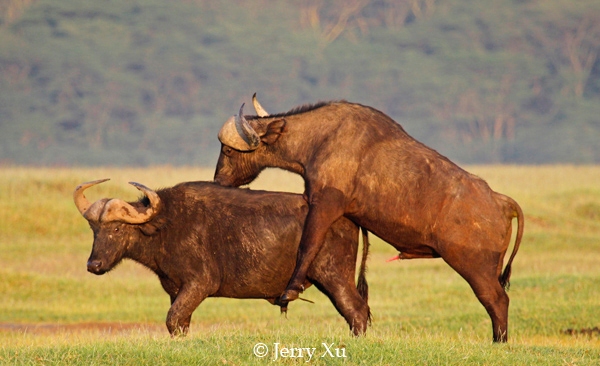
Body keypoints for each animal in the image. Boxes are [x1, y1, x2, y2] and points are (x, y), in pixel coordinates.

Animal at [72, 179, 368, 336]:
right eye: (94, 229)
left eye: (118, 228)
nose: (93, 265)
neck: (165, 225)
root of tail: (347, 216)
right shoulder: (176, 290)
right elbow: (180, 323)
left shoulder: (199, 284)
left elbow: (172, 319)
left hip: (333, 275)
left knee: (356, 310)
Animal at [213, 96, 524, 342]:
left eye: (227, 150)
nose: (218, 181)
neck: (321, 138)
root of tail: (500, 200)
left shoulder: (325, 204)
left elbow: (308, 245)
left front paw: (290, 290)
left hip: (474, 267)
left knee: (497, 300)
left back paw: (499, 341)